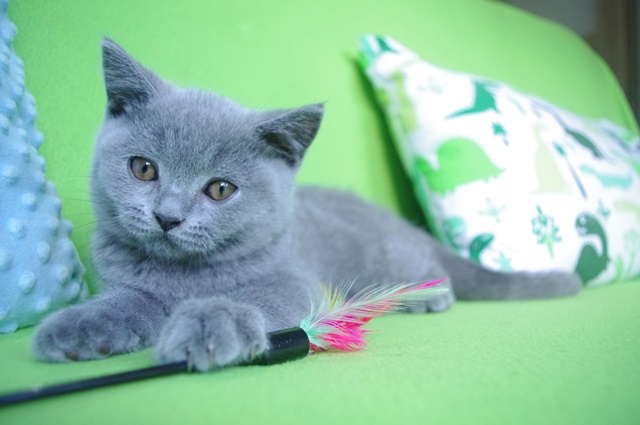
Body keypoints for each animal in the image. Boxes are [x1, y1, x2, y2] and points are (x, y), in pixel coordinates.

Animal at [32, 39, 581, 371]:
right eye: (144, 169)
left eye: (220, 190)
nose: (168, 216)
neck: (184, 276)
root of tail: (399, 223)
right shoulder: (127, 282)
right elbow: (131, 302)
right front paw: (82, 326)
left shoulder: (296, 281)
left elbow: (259, 298)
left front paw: (210, 322)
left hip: (396, 258)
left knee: (435, 273)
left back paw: (426, 296)